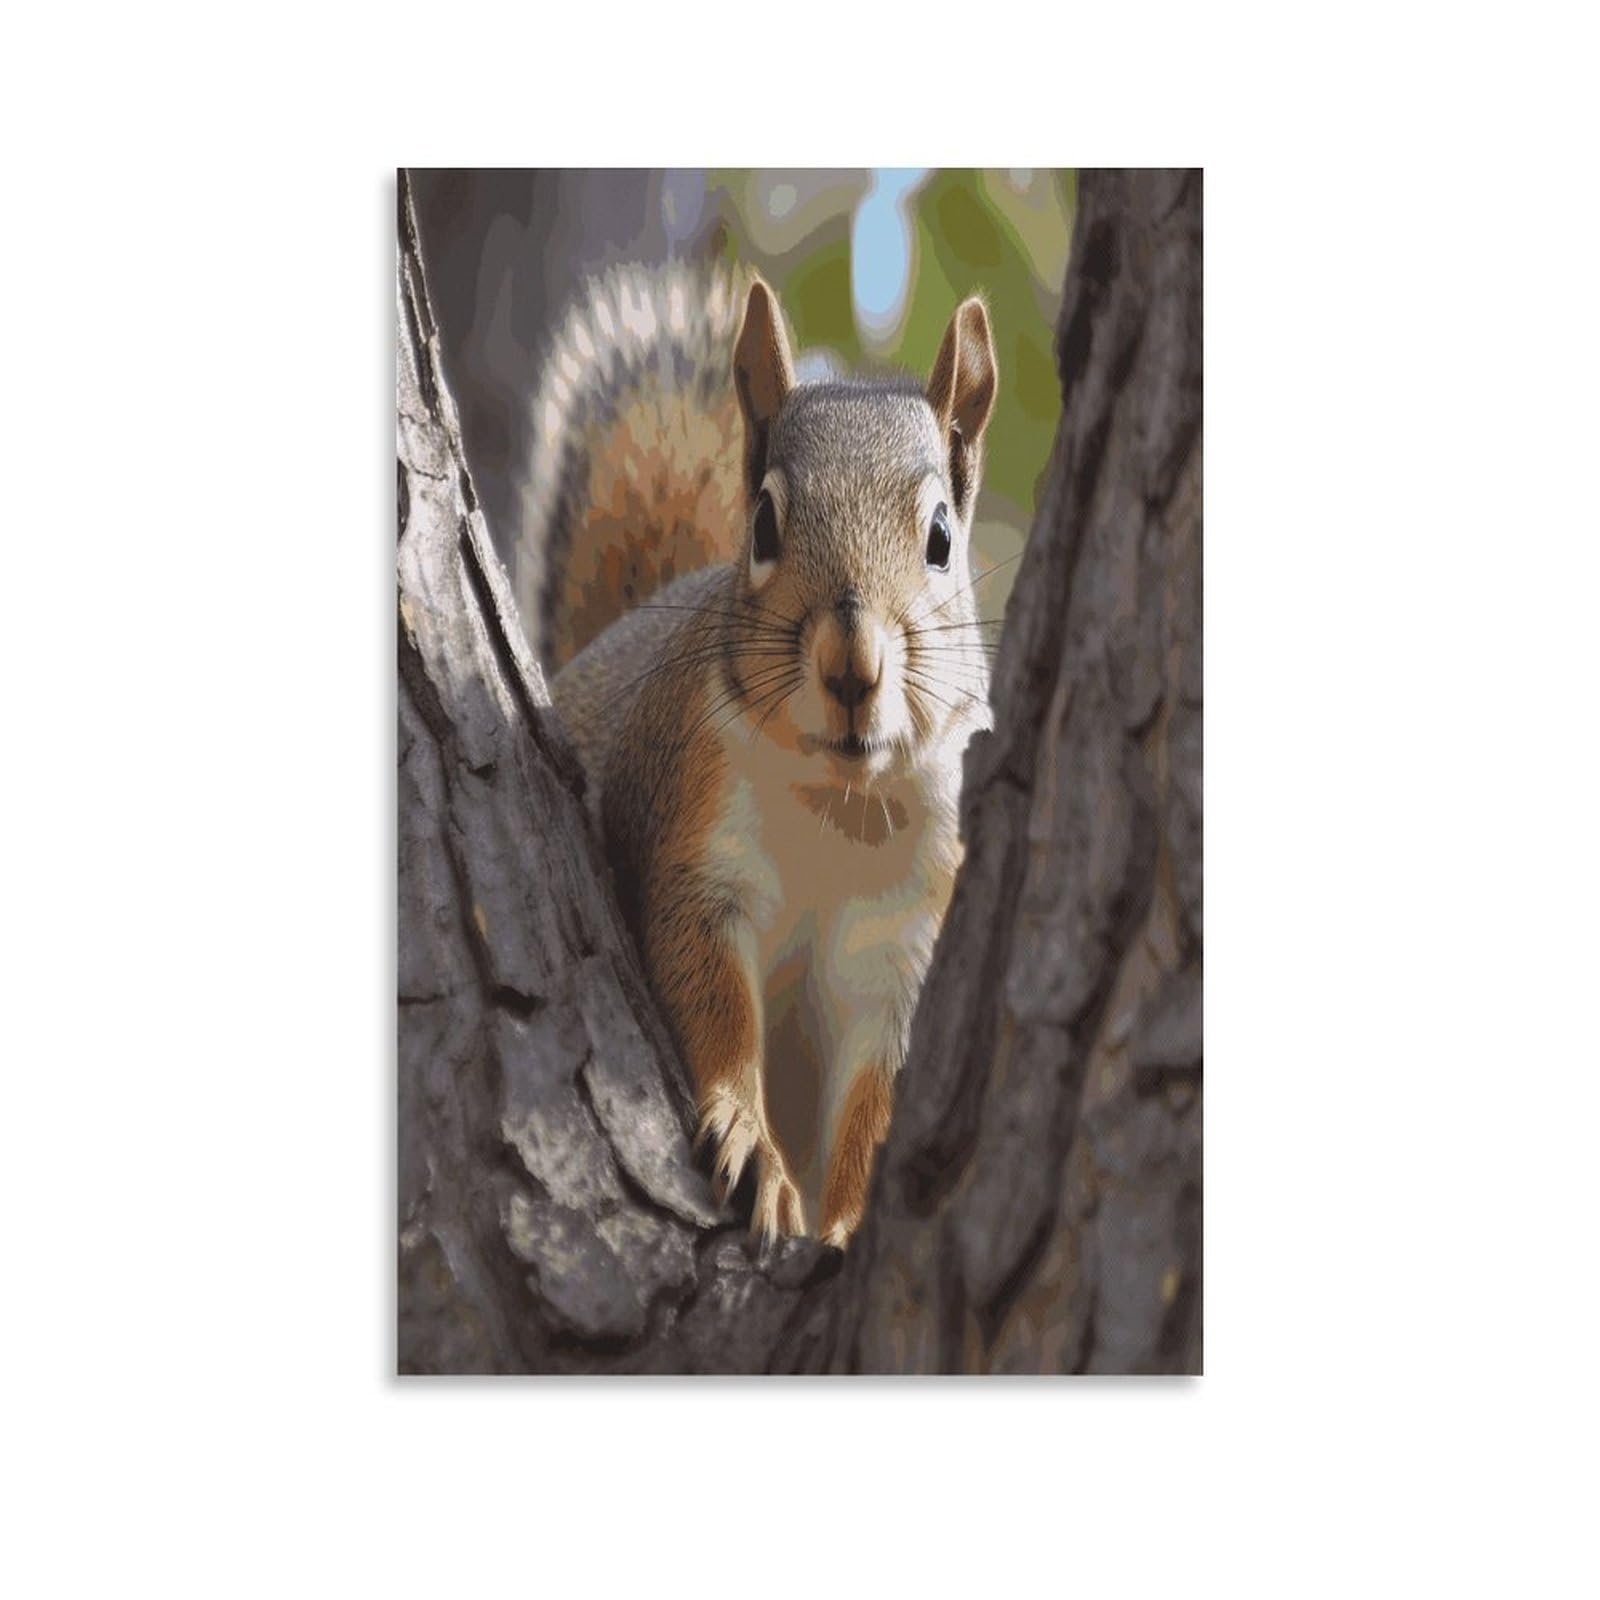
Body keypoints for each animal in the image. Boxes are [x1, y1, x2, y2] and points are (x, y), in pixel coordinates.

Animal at [517, 261, 998, 1248]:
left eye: (941, 538)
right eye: (766, 523)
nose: (852, 666)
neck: (839, 803)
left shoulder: (906, 940)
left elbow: (878, 1098)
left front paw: (845, 1224)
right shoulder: (696, 844)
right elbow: (710, 998)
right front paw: (749, 1140)